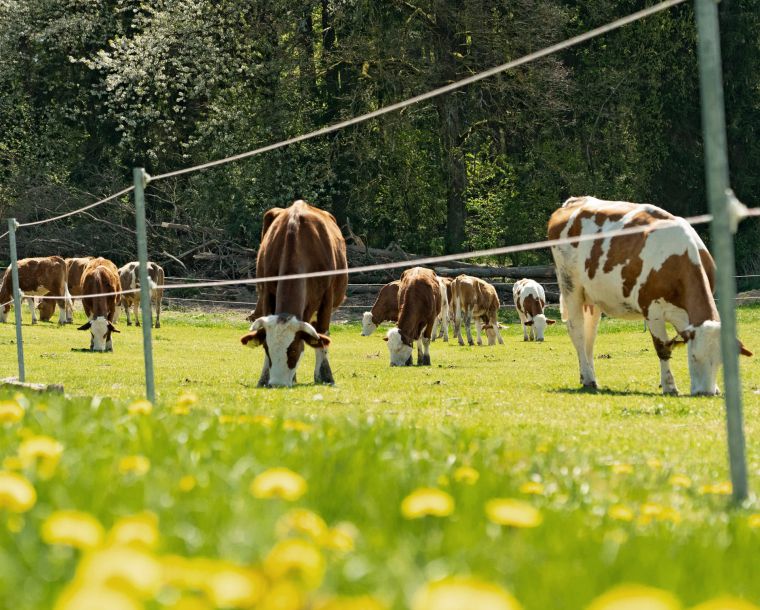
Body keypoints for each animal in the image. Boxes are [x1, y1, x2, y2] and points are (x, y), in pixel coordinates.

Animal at [240, 202, 348, 388]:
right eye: (266, 348)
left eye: (294, 349)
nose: (277, 383)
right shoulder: (267, 294)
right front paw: (264, 377)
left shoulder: (327, 299)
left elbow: (322, 335)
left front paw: (326, 376)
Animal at [548, 195, 756, 394]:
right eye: (694, 357)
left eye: (721, 361)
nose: (706, 392)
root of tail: (575, 201)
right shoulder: (652, 309)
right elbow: (662, 347)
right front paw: (669, 386)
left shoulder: (684, 314)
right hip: (570, 286)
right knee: (577, 331)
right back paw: (588, 378)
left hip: (593, 298)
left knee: (590, 335)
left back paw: (588, 376)